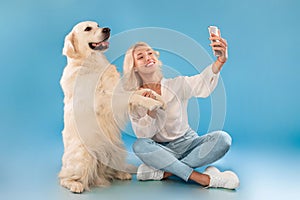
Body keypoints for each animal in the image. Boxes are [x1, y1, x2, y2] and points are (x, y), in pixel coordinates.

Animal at [58, 21, 164, 193]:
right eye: (88, 28)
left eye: (97, 25)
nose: (107, 29)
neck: (92, 62)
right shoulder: (102, 99)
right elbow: (130, 96)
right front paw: (151, 102)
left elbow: (135, 92)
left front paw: (153, 94)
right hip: (83, 156)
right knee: (65, 177)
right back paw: (75, 184)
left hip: (117, 149)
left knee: (110, 170)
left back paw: (121, 173)